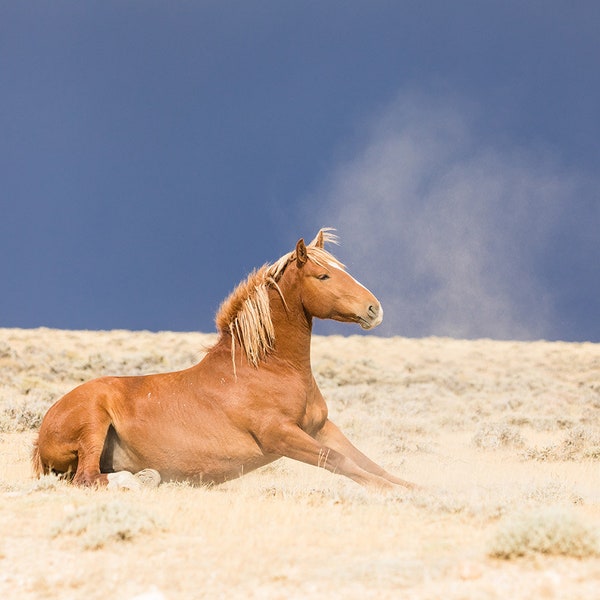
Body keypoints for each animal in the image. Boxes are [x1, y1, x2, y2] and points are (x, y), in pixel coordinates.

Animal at [32, 231, 418, 492]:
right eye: (323, 276)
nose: (374, 309)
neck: (264, 369)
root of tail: (42, 433)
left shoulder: (320, 427)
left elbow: (366, 461)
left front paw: (416, 488)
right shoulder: (281, 436)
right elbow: (337, 460)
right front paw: (392, 494)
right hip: (92, 423)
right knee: (87, 478)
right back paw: (139, 480)